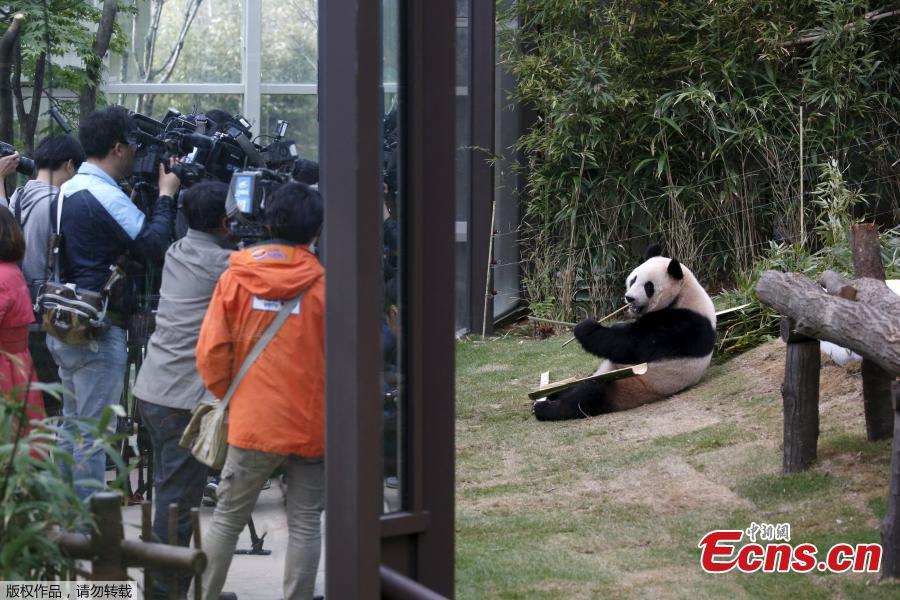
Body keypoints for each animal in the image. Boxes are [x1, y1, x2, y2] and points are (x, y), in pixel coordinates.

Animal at [533, 245, 716, 421]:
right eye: (634, 279)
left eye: (648, 286)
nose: (629, 298)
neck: (683, 293)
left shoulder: (683, 324)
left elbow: (632, 346)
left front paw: (585, 328)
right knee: (576, 385)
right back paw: (550, 394)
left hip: (628, 385)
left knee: (588, 396)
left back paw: (545, 408)